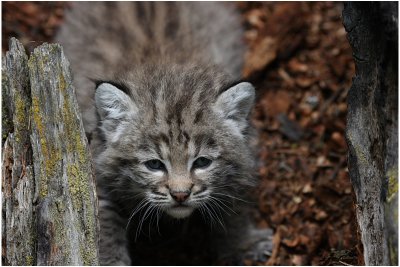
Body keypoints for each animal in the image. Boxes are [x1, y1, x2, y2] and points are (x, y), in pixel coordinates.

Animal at [55, 2, 256, 266]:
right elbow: (104, 226)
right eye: (154, 165)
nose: (180, 195)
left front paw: (246, 247)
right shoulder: (99, 175)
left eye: (202, 162)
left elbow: (236, 211)